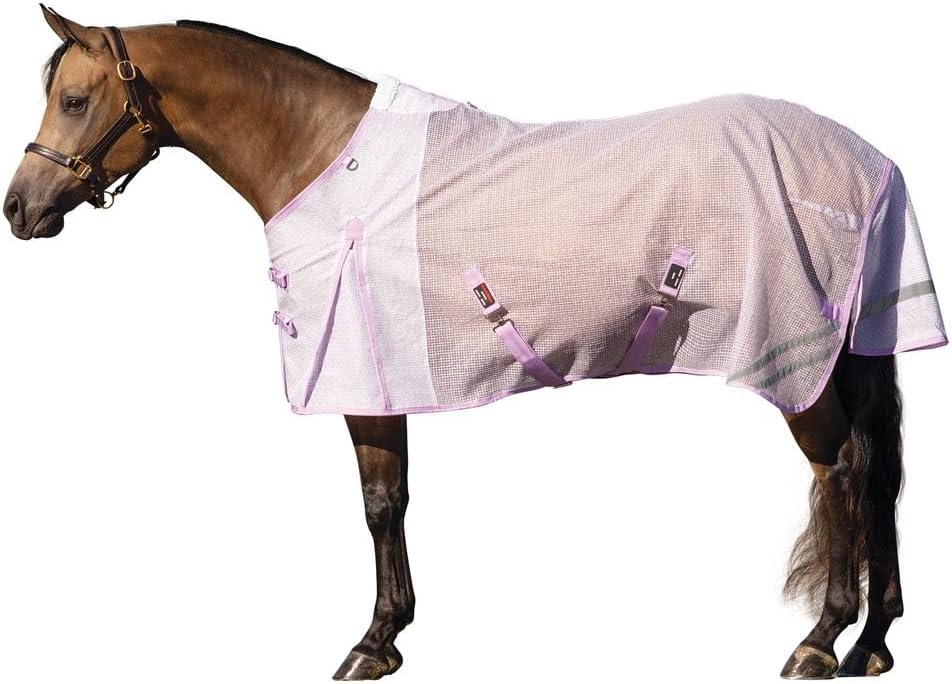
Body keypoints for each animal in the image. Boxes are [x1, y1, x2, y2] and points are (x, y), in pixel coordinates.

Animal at [5, 6, 947, 680]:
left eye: (76, 99)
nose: (19, 208)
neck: (327, 161)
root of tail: (869, 161)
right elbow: (390, 501)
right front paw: (386, 637)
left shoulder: (364, 377)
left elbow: (379, 504)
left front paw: (370, 644)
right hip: (851, 356)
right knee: (877, 479)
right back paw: (873, 644)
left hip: (797, 363)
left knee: (841, 474)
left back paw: (821, 642)